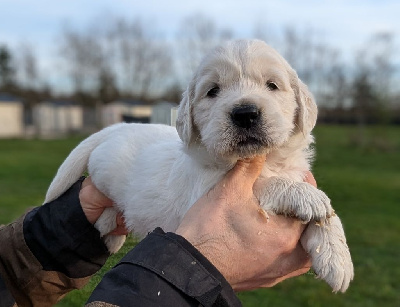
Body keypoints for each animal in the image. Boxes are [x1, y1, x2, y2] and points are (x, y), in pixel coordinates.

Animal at [45, 39, 354, 294]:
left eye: (272, 85)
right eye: (213, 91)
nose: (245, 114)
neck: (260, 159)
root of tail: (116, 127)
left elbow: (329, 217)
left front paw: (337, 259)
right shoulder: (207, 189)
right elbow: (266, 183)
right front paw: (309, 197)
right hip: (105, 176)